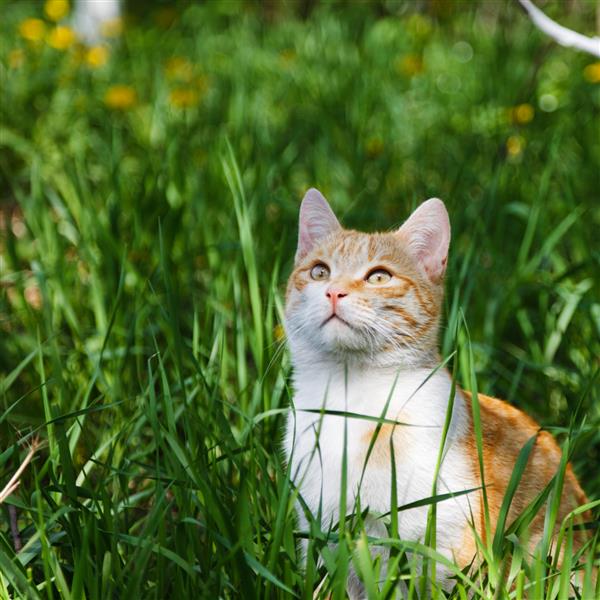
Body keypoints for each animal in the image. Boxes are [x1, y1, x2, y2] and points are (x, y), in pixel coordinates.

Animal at [282, 188, 592, 596]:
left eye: (379, 276)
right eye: (320, 271)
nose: (334, 291)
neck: (351, 401)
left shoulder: (447, 550)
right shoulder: (322, 539)